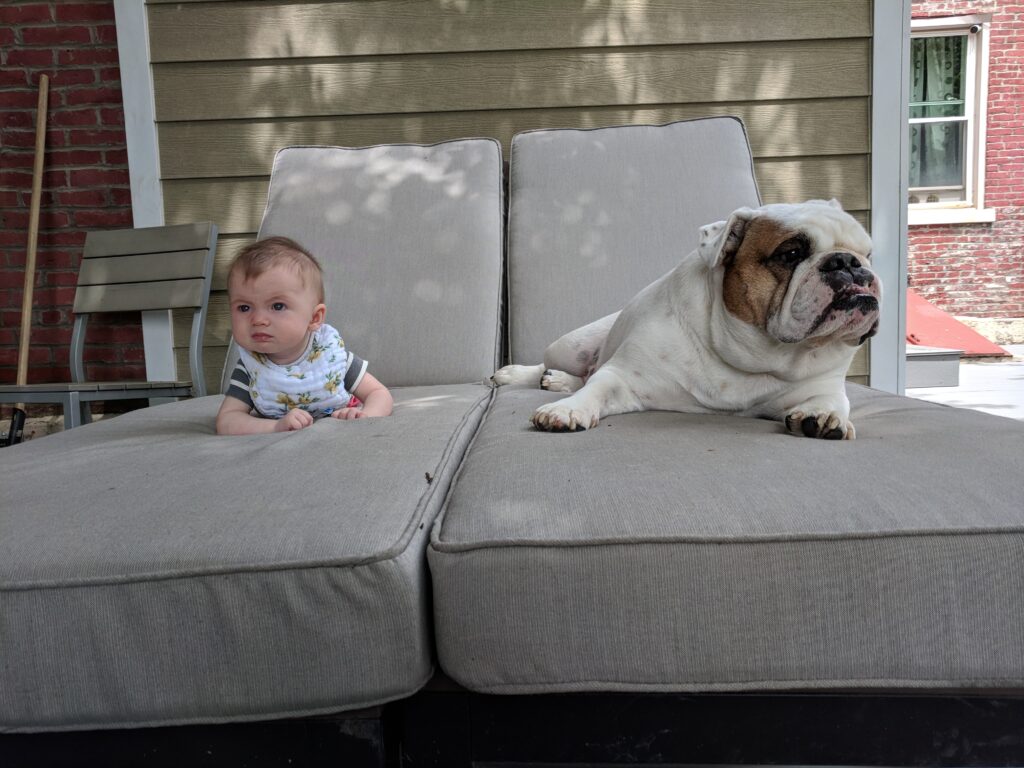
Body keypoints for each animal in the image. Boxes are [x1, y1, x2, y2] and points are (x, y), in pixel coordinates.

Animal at [493, 199, 880, 438]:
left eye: (868, 253)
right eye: (792, 253)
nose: (848, 262)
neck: (754, 356)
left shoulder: (824, 385)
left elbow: (832, 401)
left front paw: (825, 417)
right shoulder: (624, 376)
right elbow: (597, 388)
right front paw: (567, 409)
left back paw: (558, 381)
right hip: (569, 345)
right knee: (564, 368)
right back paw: (523, 375)